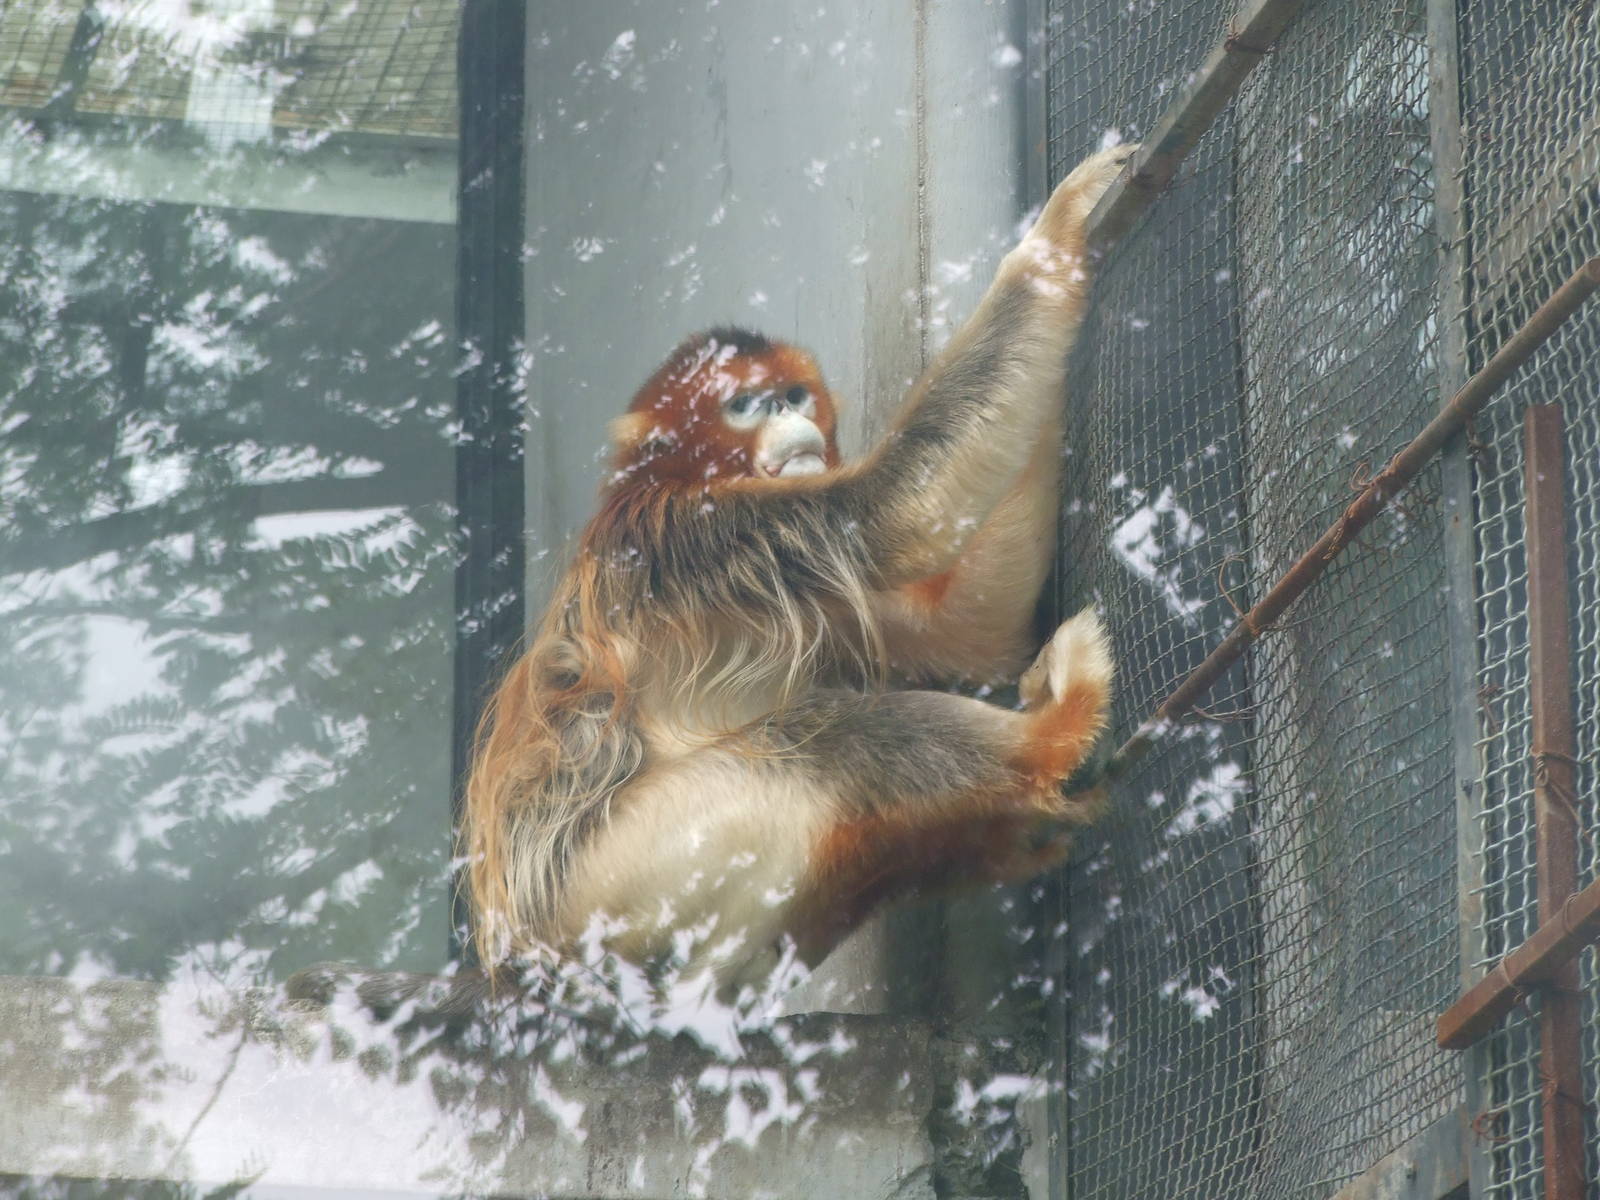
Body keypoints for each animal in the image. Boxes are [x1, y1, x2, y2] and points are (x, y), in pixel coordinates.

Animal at [463, 143, 1136, 1000]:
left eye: (791, 395)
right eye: (747, 405)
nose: (793, 423)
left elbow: (967, 627)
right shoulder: (688, 535)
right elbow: (899, 511)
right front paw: (1055, 237)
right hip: (624, 887)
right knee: (829, 746)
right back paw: (1057, 737)